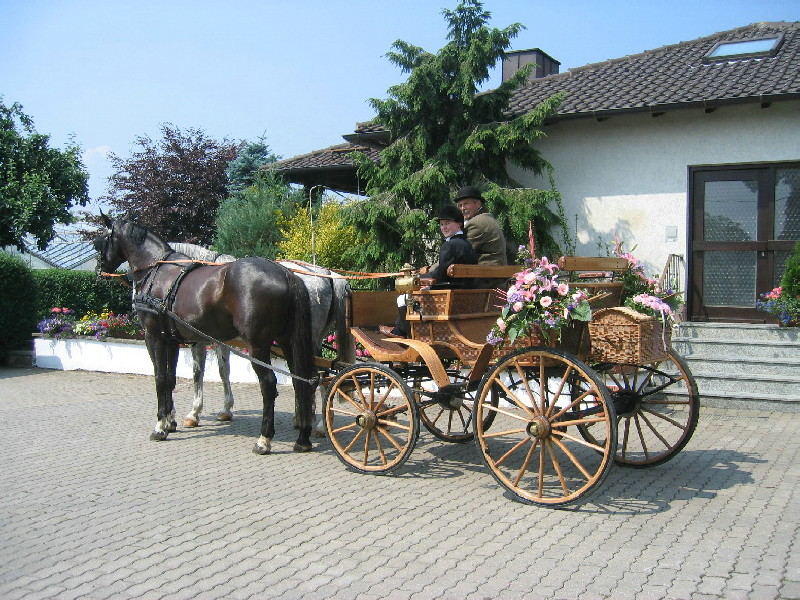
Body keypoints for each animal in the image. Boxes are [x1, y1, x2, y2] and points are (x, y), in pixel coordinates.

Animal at [94, 218, 316, 452]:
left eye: (100, 241)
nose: (99, 269)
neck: (156, 269)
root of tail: (286, 273)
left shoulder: (153, 337)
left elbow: (160, 378)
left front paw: (160, 426)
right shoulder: (171, 340)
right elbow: (171, 379)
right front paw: (170, 422)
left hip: (258, 345)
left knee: (269, 384)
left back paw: (264, 439)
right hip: (288, 342)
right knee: (301, 382)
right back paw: (303, 438)